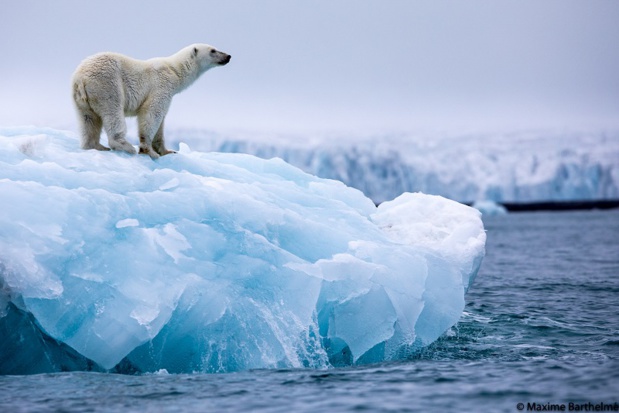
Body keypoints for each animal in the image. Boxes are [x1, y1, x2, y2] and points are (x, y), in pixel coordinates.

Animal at [71, 43, 230, 156]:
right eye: (213, 50)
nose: (228, 56)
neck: (174, 70)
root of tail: (80, 78)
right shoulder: (162, 85)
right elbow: (152, 113)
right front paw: (149, 151)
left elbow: (161, 122)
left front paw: (167, 151)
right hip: (107, 84)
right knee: (113, 112)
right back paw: (125, 146)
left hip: (81, 99)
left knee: (88, 119)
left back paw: (96, 146)